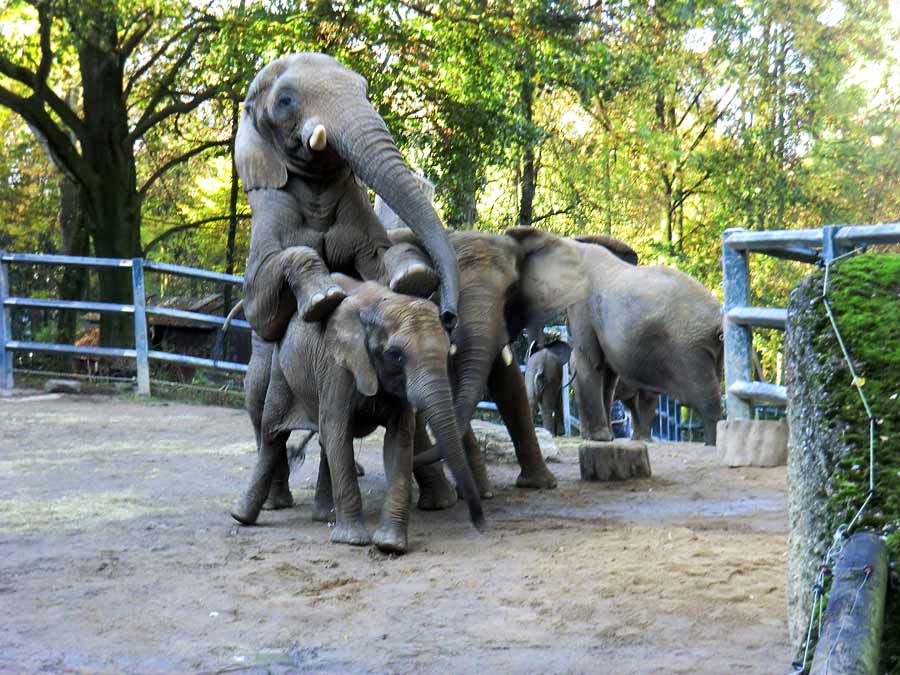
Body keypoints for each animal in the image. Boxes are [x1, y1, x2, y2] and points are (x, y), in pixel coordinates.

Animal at [234, 51, 458, 344]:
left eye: (365, 91)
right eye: (284, 100)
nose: (449, 317)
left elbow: (377, 259)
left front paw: (415, 276)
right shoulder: (271, 204)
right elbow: (260, 310)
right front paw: (324, 298)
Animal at [234, 274, 486, 556]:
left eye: (447, 352)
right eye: (395, 355)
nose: (480, 526)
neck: (382, 306)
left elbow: (398, 440)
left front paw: (390, 545)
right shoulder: (338, 367)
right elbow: (338, 430)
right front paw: (352, 540)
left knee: (322, 440)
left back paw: (324, 516)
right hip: (282, 368)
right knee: (274, 435)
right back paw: (242, 517)